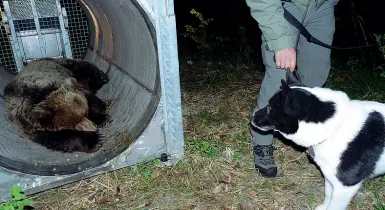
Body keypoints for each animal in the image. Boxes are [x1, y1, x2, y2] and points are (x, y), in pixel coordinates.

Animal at [249, 71, 384, 210]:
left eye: (270, 107)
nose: (251, 116)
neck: (335, 127)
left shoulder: (345, 186)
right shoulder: (330, 177)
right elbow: (328, 194)